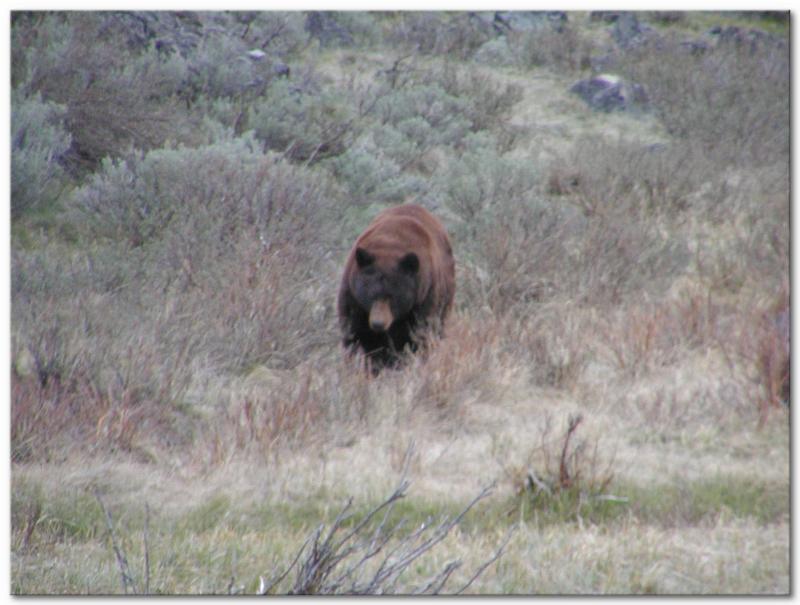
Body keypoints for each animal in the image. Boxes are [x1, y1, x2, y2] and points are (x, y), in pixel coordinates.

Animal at [334, 205, 454, 370]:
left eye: (393, 297)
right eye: (370, 295)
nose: (378, 323)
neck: (391, 246)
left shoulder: (424, 296)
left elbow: (419, 334)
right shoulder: (353, 296)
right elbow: (355, 335)